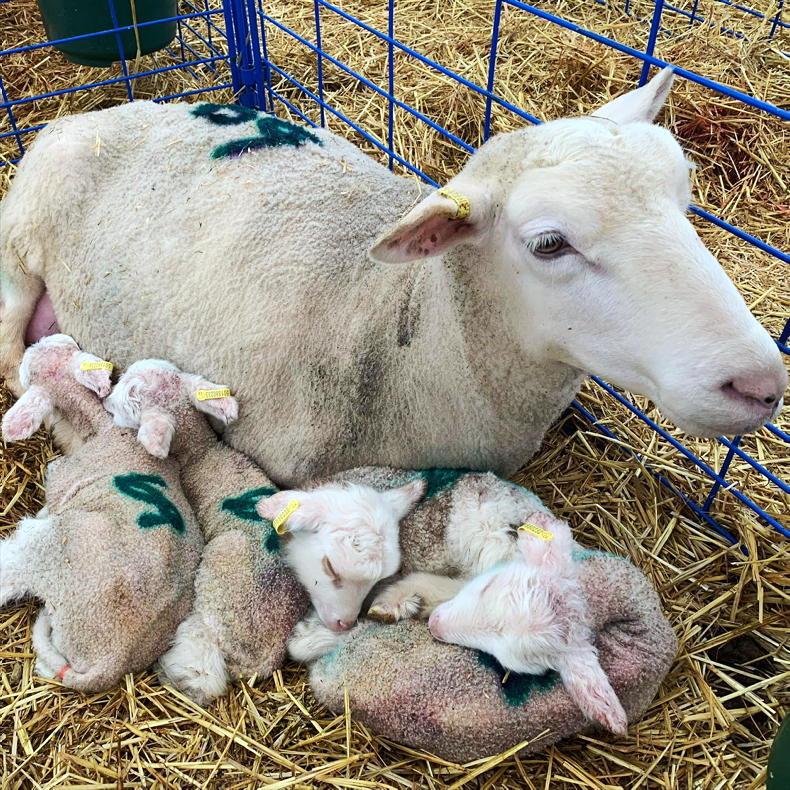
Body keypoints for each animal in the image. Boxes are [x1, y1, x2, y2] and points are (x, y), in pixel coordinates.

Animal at [0, 71, 784, 486]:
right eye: (549, 243)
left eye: (685, 197)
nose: (759, 385)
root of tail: (97, 111)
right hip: (17, 248)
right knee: (15, 361)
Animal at [0, 334, 204, 692]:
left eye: (28, 365)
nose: (48, 337)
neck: (102, 428)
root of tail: (113, 661)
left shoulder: (61, 482)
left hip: (50, 548)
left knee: (11, 569)